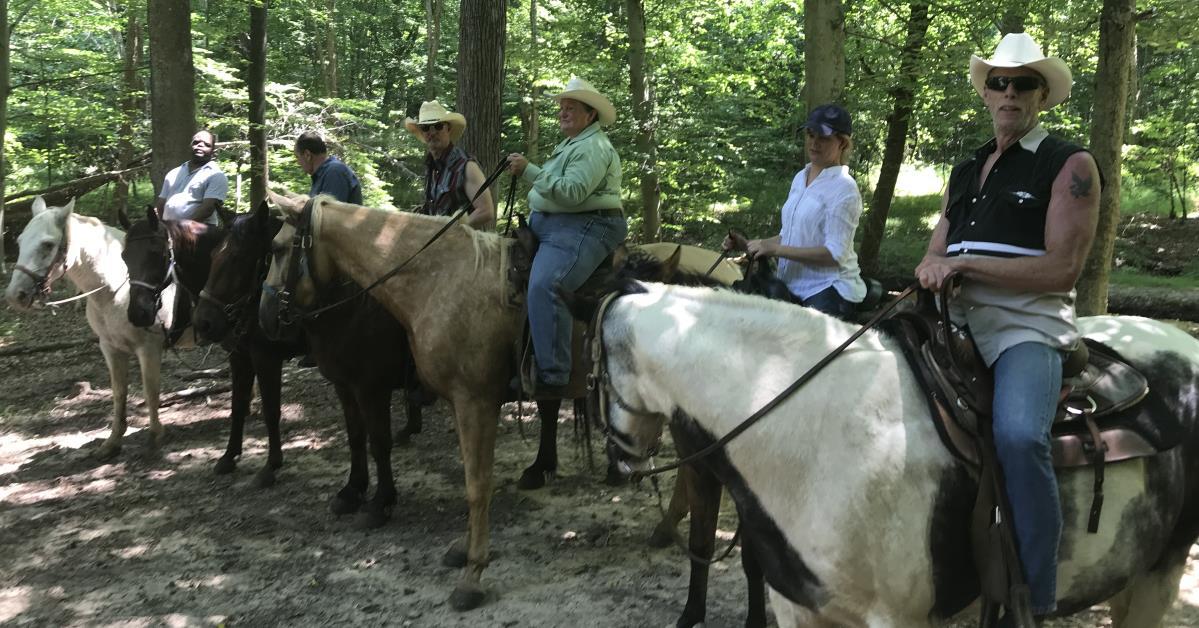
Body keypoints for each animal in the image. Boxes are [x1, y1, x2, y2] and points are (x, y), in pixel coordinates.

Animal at [5, 195, 178, 455]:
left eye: (47, 245)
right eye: (20, 241)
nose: (15, 295)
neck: (115, 289)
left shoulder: (148, 347)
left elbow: (151, 390)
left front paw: (156, 435)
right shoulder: (110, 348)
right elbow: (119, 392)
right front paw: (113, 441)